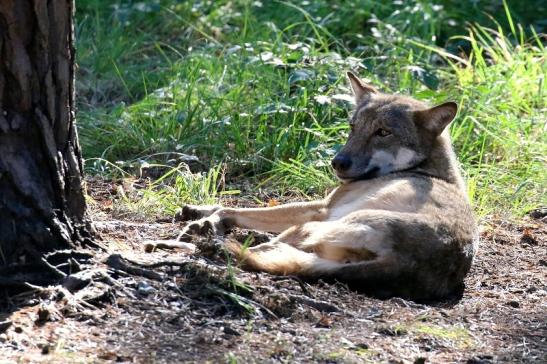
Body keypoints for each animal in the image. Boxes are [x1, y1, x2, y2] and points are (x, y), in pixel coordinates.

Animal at [169, 72, 478, 302]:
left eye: (383, 133)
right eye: (353, 127)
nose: (337, 163)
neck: (425, 168)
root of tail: (402, 262)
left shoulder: (321, 208)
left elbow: (231, 209)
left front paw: (205, 221)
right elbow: (227, 206)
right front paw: (197, 211)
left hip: (311, 226)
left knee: (260, 250)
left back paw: (193, 248)